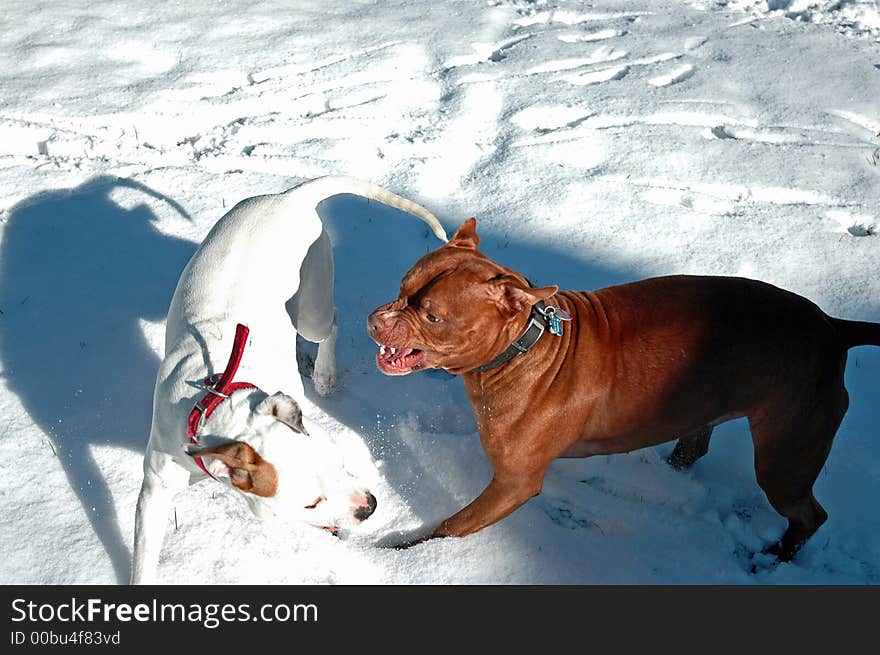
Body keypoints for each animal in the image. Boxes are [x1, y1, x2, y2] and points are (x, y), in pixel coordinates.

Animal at [131, 174, 446, 584]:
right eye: (311, 502)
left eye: (338, 461)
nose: (370, 507)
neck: (222, 399)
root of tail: (290, 195)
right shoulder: (156, 486)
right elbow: (144, 554)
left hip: (312, 298)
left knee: (330, 320)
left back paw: (325, 374)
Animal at [368, 218, 876, 560]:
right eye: (402, 286)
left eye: (433, 316)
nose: (376, 319)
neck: (526, 344)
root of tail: (834, 328)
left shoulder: (513, 483)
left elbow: (451, 526)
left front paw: (404, 555)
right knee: (694, 446)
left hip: (785, 457)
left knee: (809, 514)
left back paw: (776, 556)